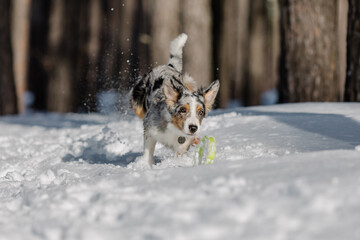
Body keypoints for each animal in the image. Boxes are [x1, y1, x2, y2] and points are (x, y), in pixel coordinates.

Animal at [129, 33, 219, 167]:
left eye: (201, 112)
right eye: (182, 110)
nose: (193, 128)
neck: (174, 129)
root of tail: (168, 66)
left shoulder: (183, 144)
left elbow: (180, 152)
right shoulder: (150, 129)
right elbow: (148, 150)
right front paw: (146, 165)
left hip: (189, 81)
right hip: (137, 101)